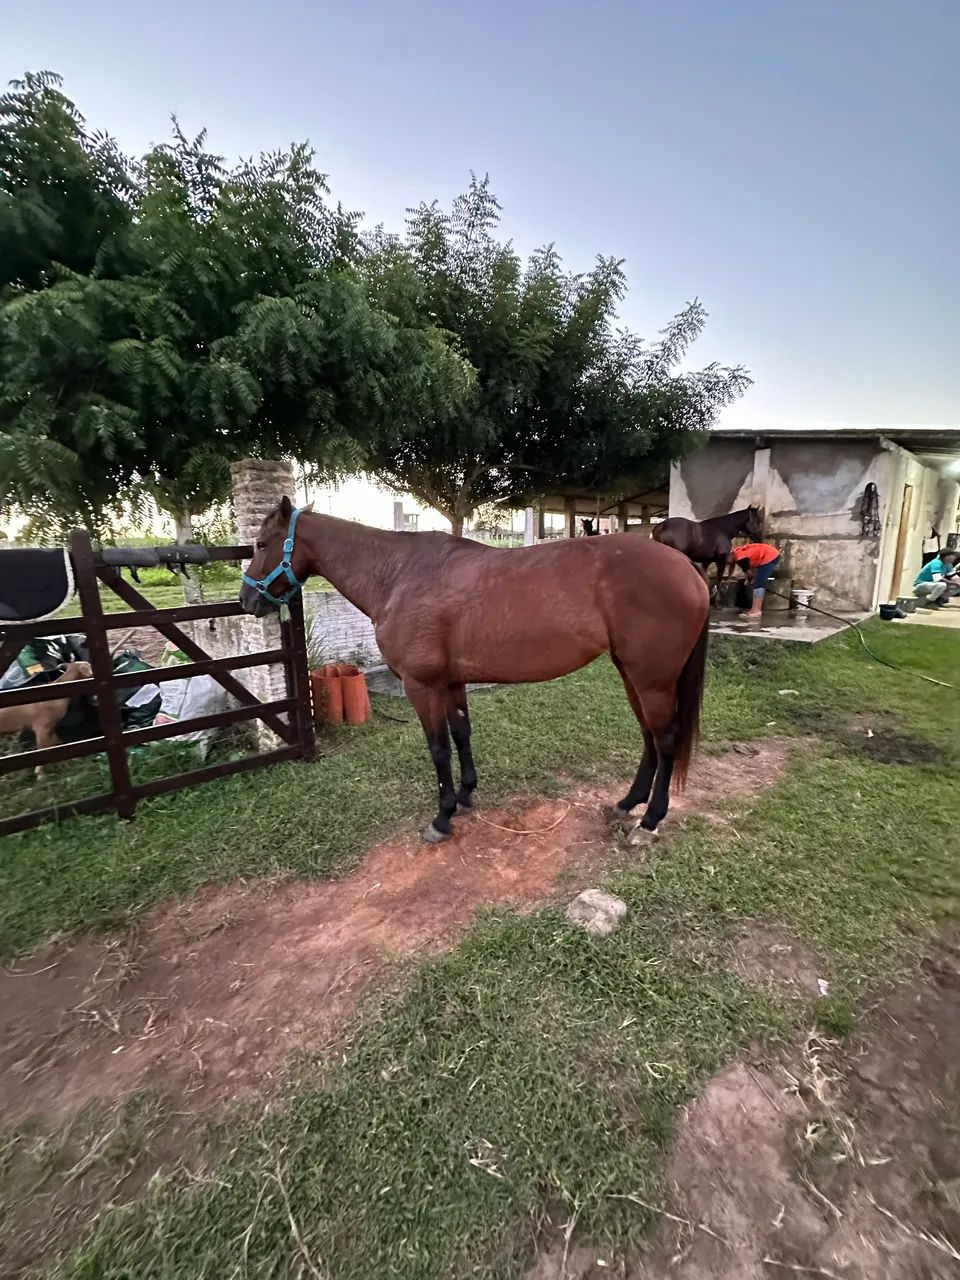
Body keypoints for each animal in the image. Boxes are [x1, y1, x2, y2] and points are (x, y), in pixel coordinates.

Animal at [241, 498, 710, 845]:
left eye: (261, 544)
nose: (247, 600)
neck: (397, 575)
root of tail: (687, 568)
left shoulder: (421, 686)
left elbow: (438, 748)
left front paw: (442, 817)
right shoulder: (450, 682)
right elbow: (461, 733)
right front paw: (466, 795)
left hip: (652, 680)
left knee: (665, 740)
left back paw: (649, 821)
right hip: (633, 675)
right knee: (650, 737)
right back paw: (629, 802)